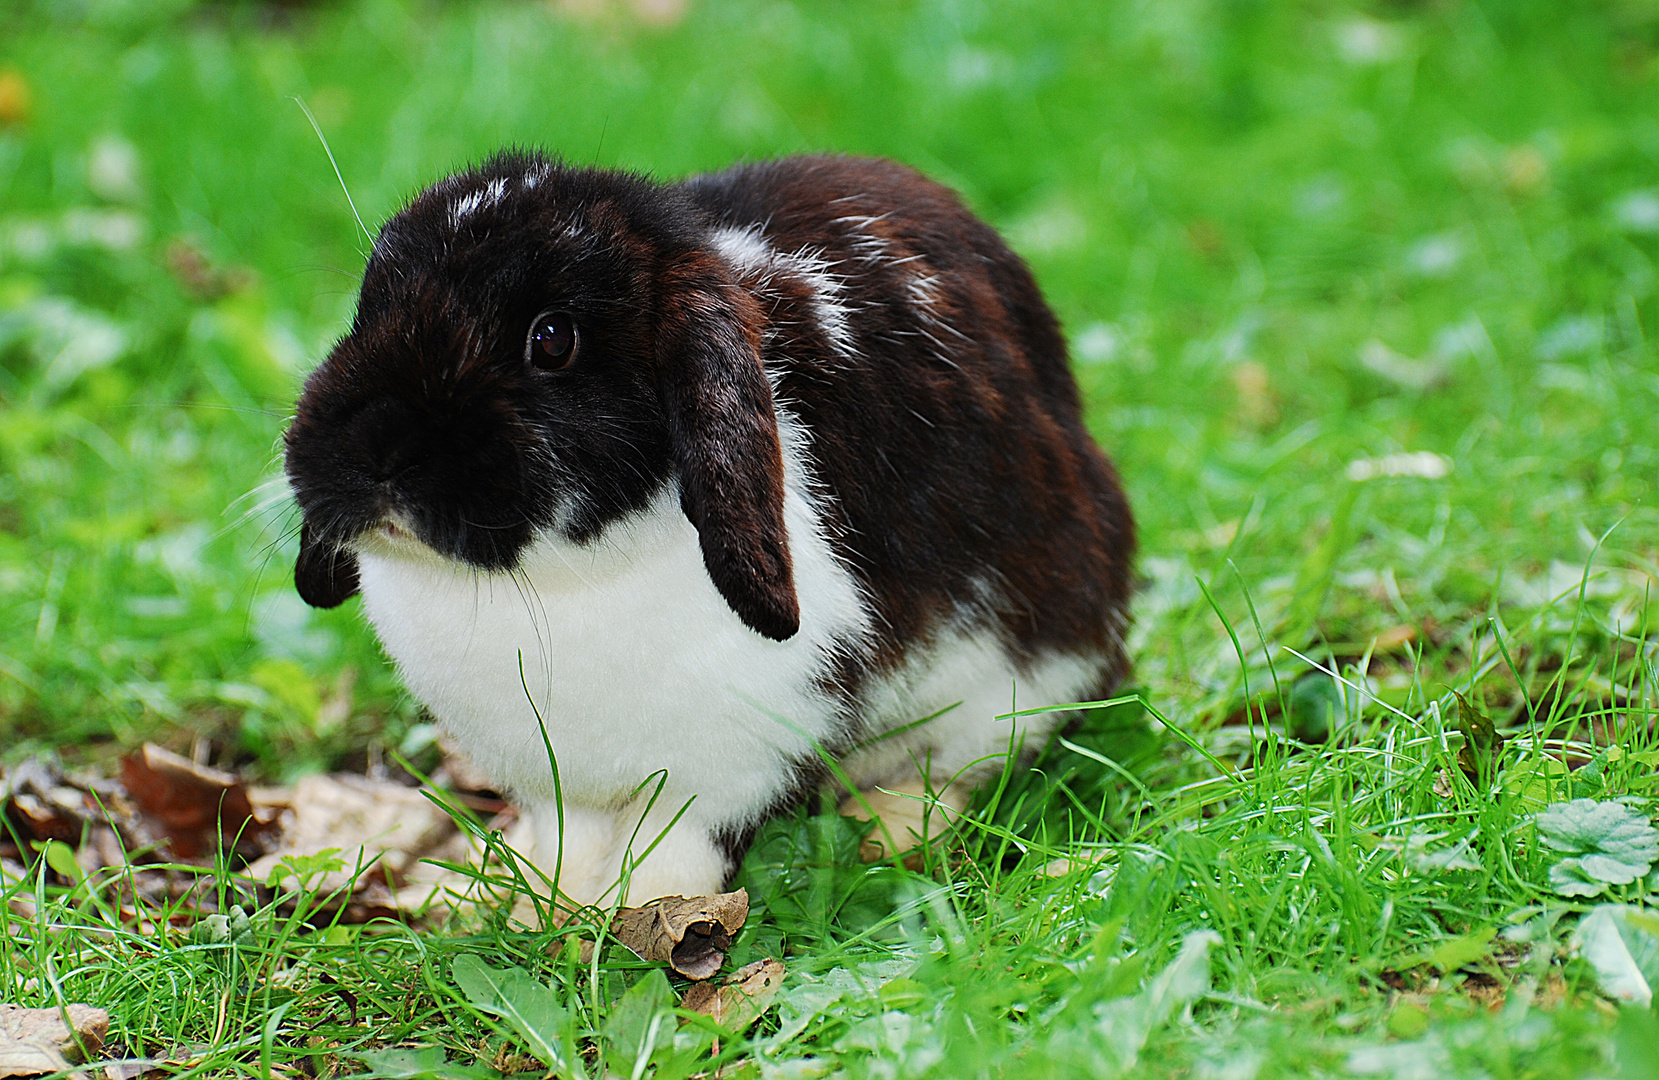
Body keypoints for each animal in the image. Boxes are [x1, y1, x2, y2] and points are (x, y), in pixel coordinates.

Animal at [288, 151, 1141, 915]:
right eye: (369, 307)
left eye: (551, 338)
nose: (375, 446)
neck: (559, 580)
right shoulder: (555, 787)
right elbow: (566, 844)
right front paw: (539, 913)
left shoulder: (730, 768)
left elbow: (674, 851)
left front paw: (633, 920)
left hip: (1018, 673)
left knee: (971, 762)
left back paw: (889, 825)